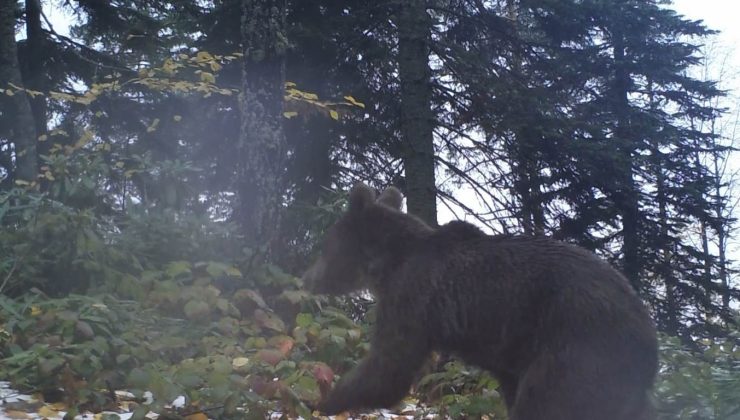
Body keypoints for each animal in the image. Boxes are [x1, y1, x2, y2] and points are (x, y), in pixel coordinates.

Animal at [304, 183, 656, 420]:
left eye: (326, 245)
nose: (310, 279)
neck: (387, 265)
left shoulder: (410, 300)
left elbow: (388, 368)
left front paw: (325, 401)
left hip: (579, 346)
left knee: (548, 402)